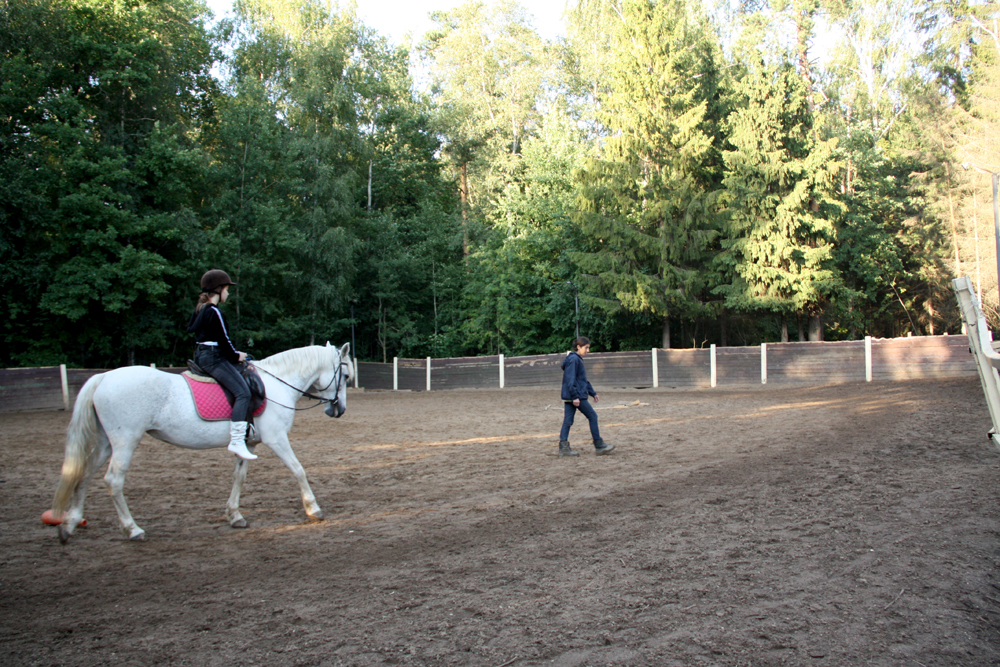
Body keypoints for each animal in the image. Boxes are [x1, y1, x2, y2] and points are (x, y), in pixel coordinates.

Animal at [50, 342, 353, 543]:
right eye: (346, 376)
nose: (338, 410)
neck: (276, 385)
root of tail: (103, 377)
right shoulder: (276, 438)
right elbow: (298, 469)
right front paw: (313, 508)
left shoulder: (249, 445)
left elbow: (239, 478)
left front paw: (234, 515)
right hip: (125, 440)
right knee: (113, 480)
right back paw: (132, 528)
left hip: (105, 443)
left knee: (82, 475)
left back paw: (70, 524)